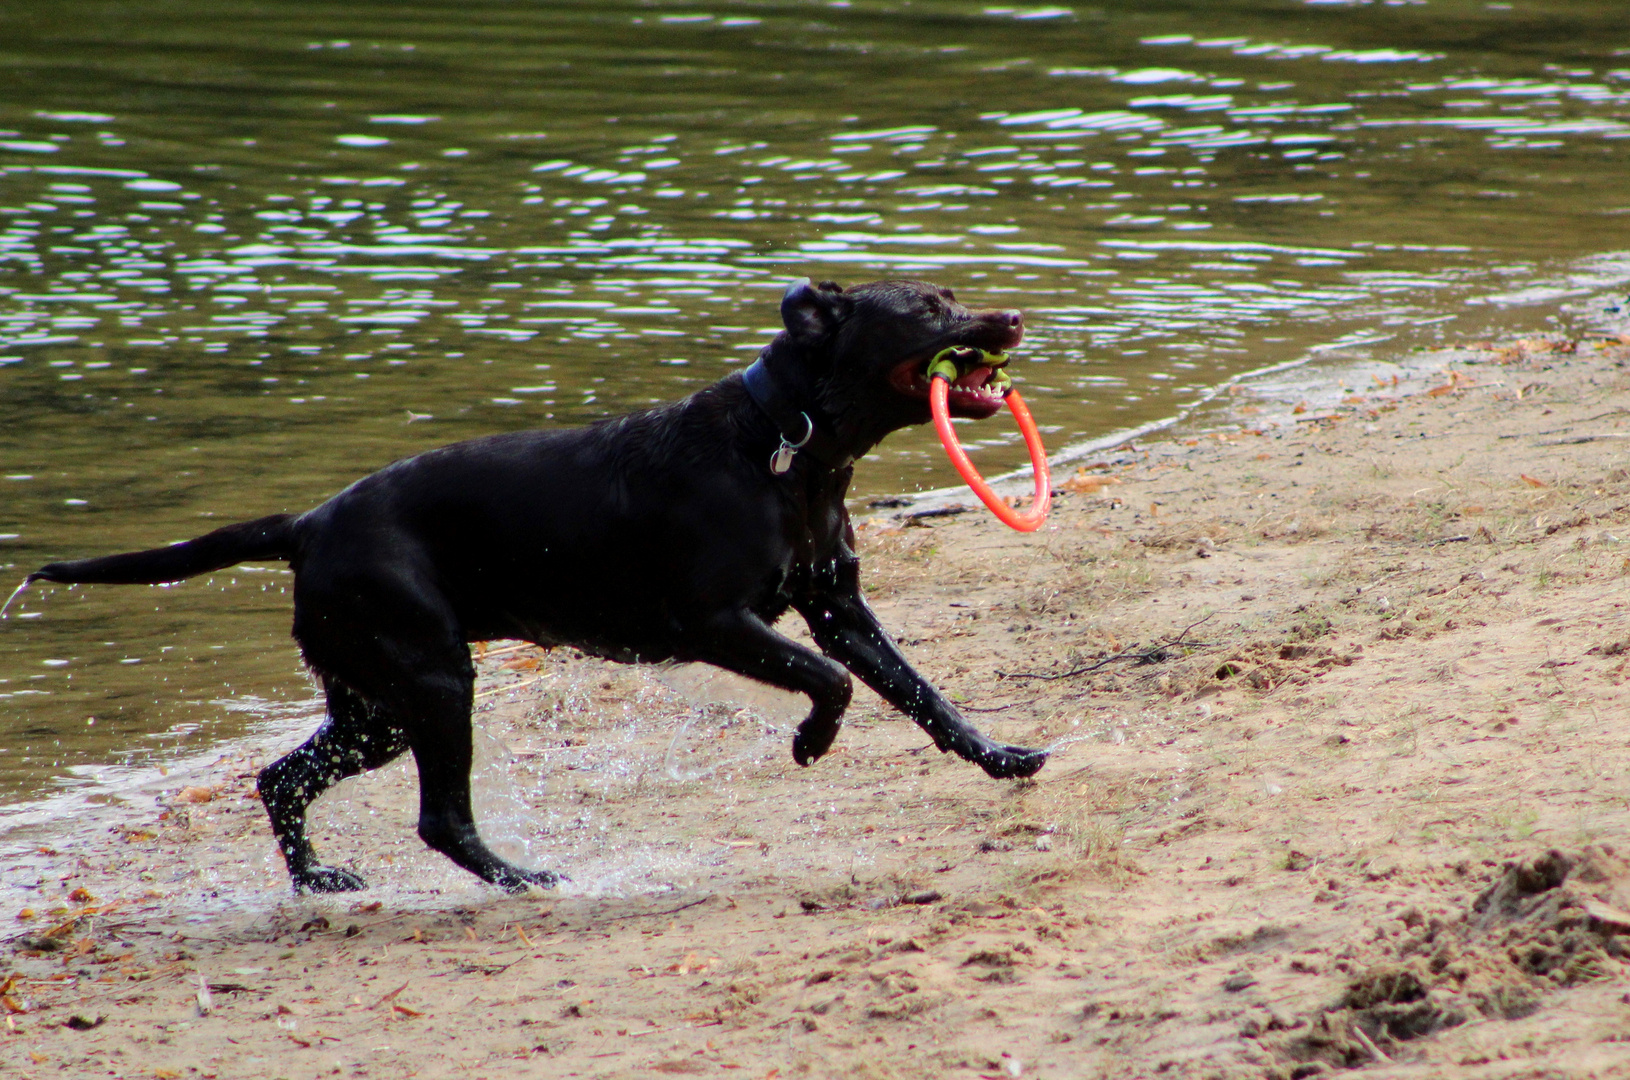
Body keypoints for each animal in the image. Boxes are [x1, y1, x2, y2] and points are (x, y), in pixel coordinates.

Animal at [31, 280, 1049, 892]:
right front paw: (810, 742)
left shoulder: (839, 609)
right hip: (432, 682)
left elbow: (923, 694)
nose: (1013, 318)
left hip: (380, 707)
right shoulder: (716, 622)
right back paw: (520, 879)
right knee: (438, 818)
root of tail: (306, 524)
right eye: (929, 308)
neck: (787, 443)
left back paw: (321, 881)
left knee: (281, 778)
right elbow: (831, 683)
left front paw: (1002, 757)